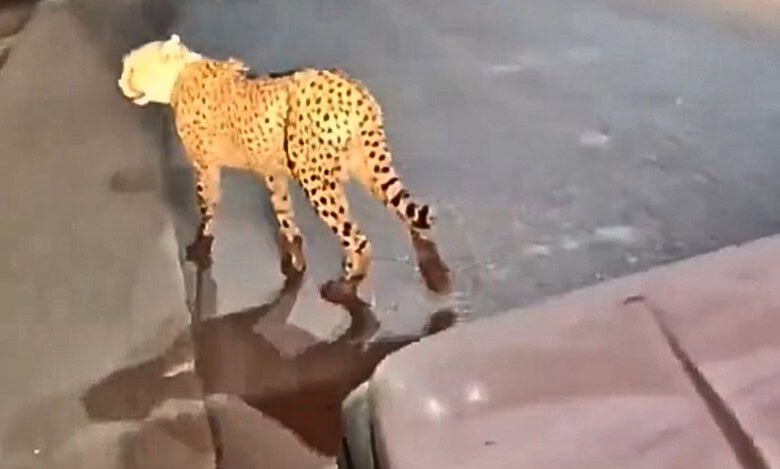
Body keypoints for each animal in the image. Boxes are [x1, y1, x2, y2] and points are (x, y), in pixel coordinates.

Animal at [117, 34, 451, 299]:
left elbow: (207, 205)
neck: (181, 73)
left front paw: (201, 245)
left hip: (317, 180)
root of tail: (352, 87)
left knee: (358, 238)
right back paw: (433, 267)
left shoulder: (205, 166)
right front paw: (293, 252)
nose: (120, 83)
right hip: (365, 165)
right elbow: (283, 209)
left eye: (132, 68)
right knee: (403, 210)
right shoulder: (272, 170)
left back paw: (345, 286)